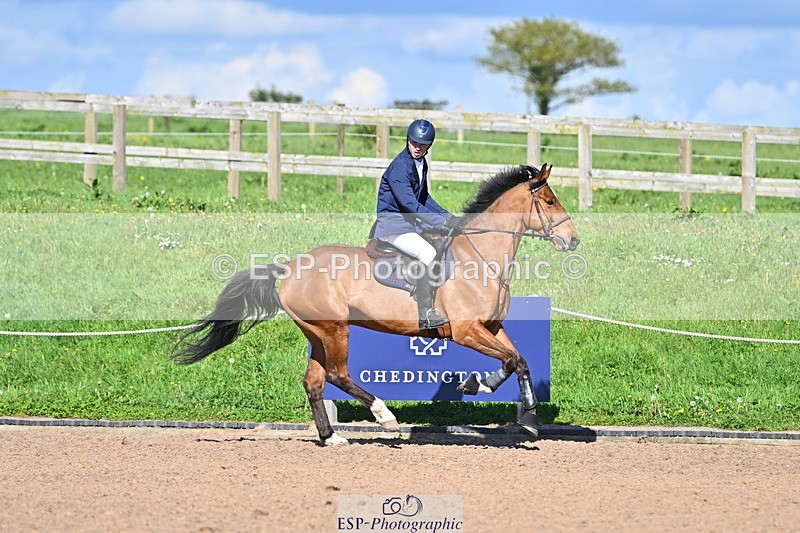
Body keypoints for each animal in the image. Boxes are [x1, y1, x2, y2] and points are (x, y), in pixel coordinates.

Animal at [173, 164, 579, 445]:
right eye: (549, 201)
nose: (573, 240)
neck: (480, 258)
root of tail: (288, 267)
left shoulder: (492, 327)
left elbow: (520, 361)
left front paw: (528, 416)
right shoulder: (467, 332)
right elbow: (509, 361)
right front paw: (475, 385)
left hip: (318, 333)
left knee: (314, 381)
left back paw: (331, 437)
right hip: (334, 329)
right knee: (337, 375)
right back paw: (385, 417)